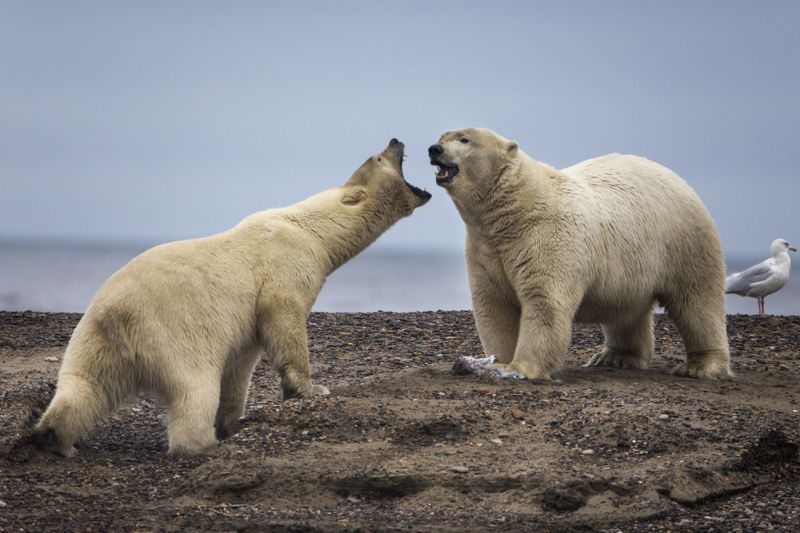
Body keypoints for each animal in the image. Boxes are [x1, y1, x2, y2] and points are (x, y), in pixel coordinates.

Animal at [35, 139, 432, 456]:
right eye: (378, 157)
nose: (396, 139)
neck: (309, 227)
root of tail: (117, 314)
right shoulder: (285, 265)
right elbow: (285, 321)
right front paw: (311, 388)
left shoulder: (244, 326)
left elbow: (240, 363)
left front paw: (231, 420)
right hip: (173, 335)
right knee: (193, 390)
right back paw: (201, 444)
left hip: (92, 339)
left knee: (83, 387)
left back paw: (55, 437)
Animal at [432, 127, 732, 380]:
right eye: (443, 135)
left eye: (464, 139)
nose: (434, 149)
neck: (517, 207)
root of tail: (678, 179)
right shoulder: (485, 247)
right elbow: (494, 303)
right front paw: (499, 361)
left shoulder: (547, 238)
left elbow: (544, 302)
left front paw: (520, 368)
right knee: (626, 310)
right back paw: (615, 357)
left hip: (684, 241)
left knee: (697, 301)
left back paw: (701, 366)